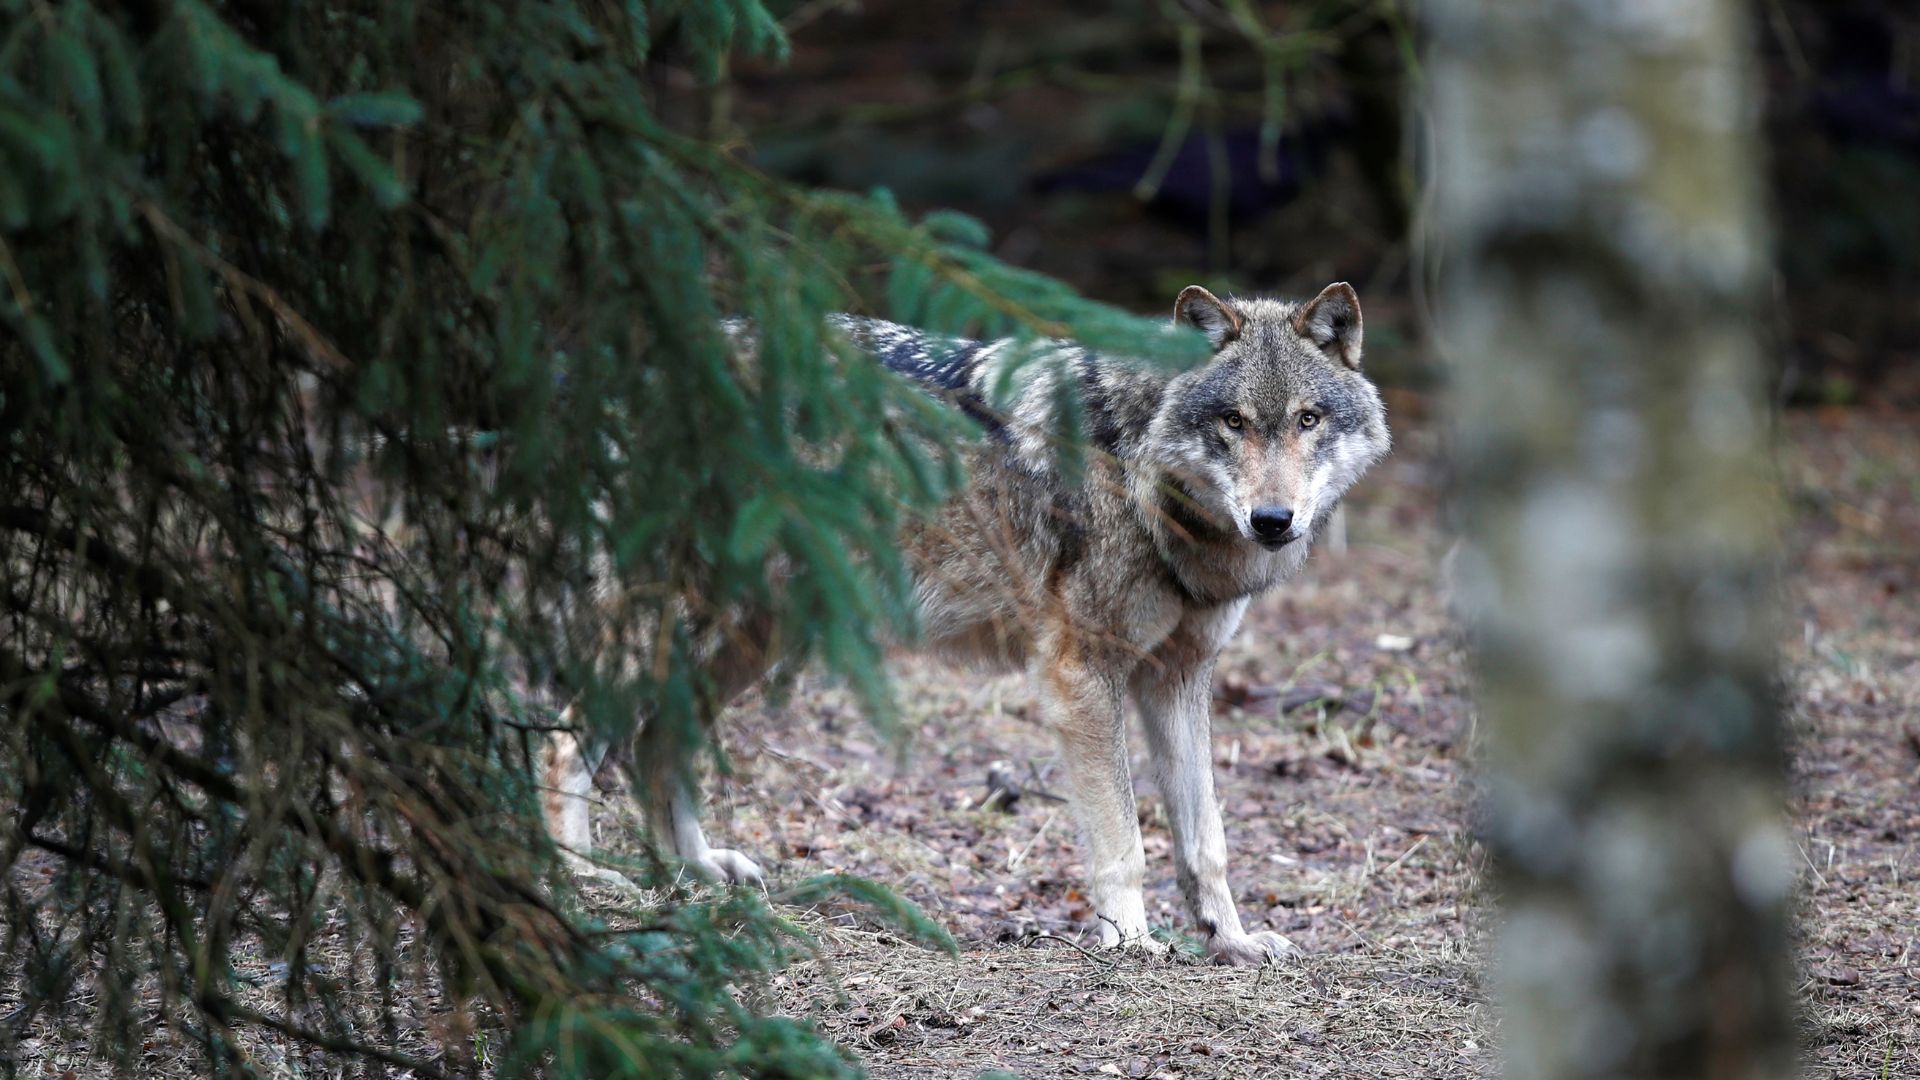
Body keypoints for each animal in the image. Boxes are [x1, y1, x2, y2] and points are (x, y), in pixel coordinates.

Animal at [542, 282, 1390, 965]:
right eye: (1234, 422)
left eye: (1308, 419)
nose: (1273, 520)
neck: (1139, 463)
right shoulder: (1082, 674)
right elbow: (1123, 840)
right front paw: (1132, 941)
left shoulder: (1180, 677)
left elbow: (1204, 841)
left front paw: (1231, 941)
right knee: (561, 744)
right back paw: (579, 878)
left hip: (746, 643)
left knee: (658, 743)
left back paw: (697, 871)